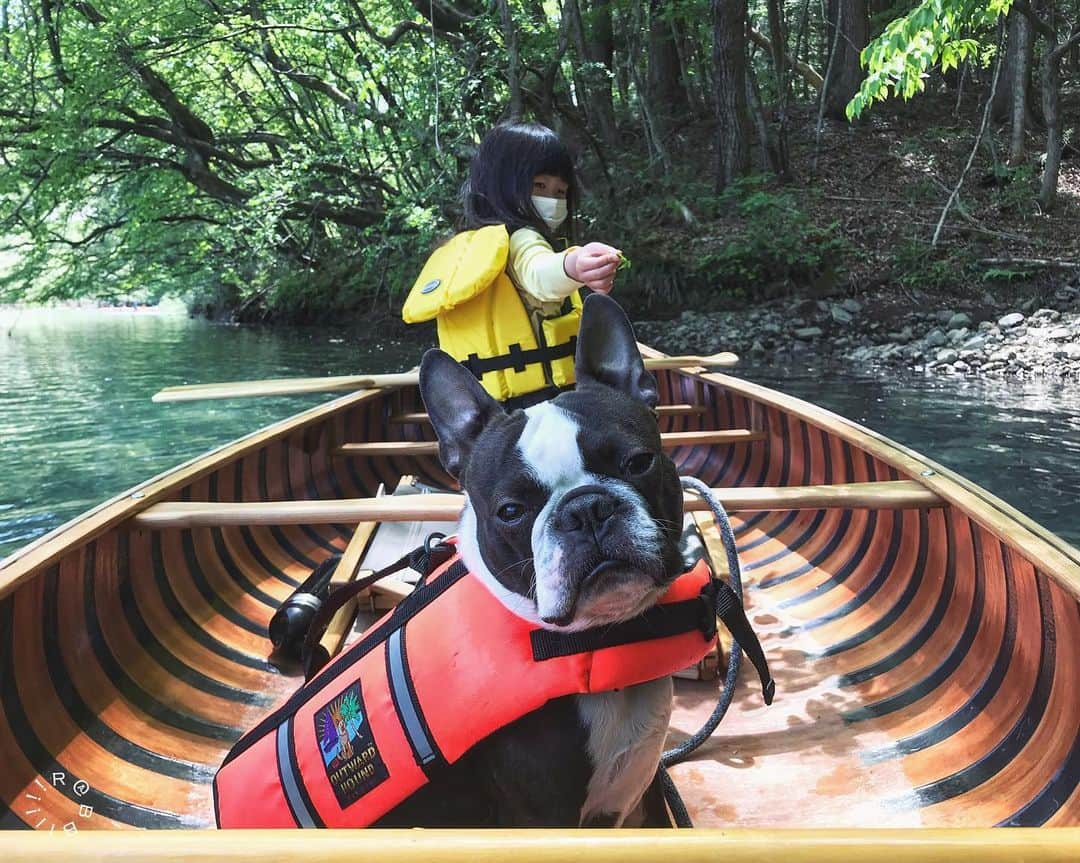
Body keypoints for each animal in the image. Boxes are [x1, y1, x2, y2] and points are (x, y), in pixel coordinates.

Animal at [375, 295, 682, 829]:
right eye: (511, 511)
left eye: (638, 462)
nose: (586, 508)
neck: (605, 641)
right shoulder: (544, 817)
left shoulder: (645, 800)